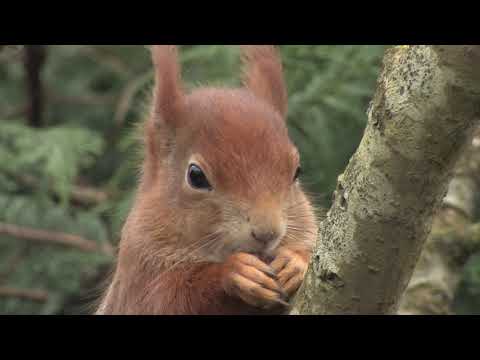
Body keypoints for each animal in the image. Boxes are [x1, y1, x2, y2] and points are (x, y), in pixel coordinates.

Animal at [95, 45, 316, 316]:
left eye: (297, 171)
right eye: (196, 176)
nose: (267, 233)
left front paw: (296, 261)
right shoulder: (138, 276)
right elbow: (165, 298)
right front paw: (234, 272)